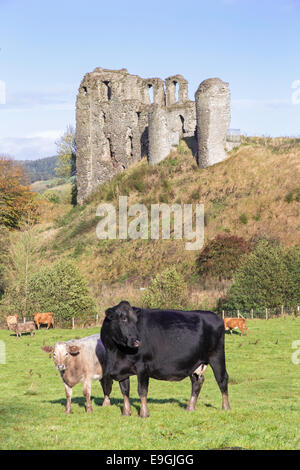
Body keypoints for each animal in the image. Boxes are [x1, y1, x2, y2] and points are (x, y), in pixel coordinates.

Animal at [100, 300, 230, 416]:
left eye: (136, 320)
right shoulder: (122, 369)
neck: (115, 352)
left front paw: (144, 413)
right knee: (197, 381)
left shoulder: (143, 366)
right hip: (195, 362)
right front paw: (126, 413)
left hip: (217, 356)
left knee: (222, 379)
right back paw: (190, 407)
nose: (137, 341)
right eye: (123, 318)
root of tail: (215, 316)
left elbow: (142, 390)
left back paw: (226, 407)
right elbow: (125, 391)